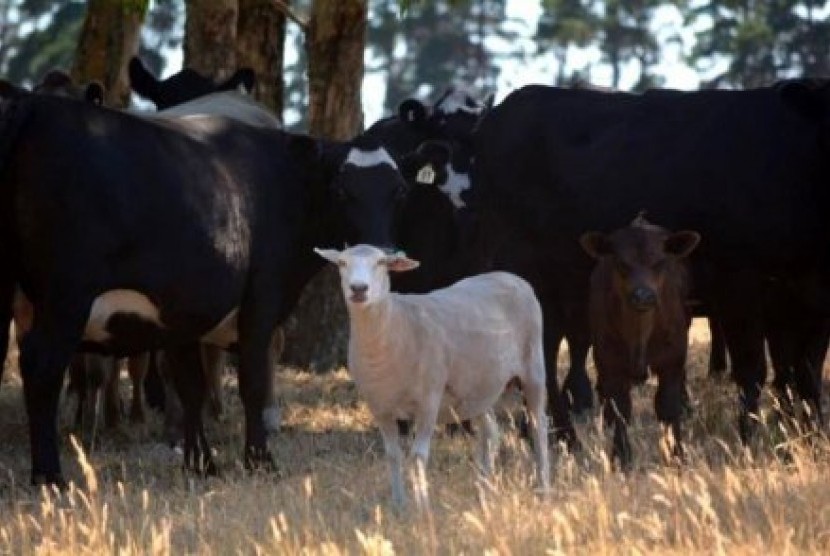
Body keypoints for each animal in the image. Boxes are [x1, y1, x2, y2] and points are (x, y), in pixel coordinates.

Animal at [0, 84, 442, 484]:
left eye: (400, 191)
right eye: (341, 190)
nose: (385, 253)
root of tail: (35, 105)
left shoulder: (179, 312)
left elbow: (190, 386)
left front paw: (201, 464)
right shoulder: (261, 299)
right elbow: (252, 382)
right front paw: (260, 460)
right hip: (66, 298)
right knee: (41, 366)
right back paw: (49, 476)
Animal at [316, 245, 548, 506]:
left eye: (382, 263)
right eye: (342, 263)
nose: (358, 288)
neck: (396, 325)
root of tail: (510, 276)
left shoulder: (429, 400)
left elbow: (418, 455)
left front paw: (423, 505)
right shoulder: (380, 407)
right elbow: (393, 455)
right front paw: (399, 505)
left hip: (533, 368)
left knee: (538, 426)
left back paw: (543, 489)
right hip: (476, 390)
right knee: (490, 432)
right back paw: (483, 493)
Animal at [584, 215, 704, 466]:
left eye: (660, 262)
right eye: (621, 263)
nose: (643, 295)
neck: (639, 337)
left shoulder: (672, 358)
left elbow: (667, 406)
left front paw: (677, 453)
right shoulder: (609, 361)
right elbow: (620, 409)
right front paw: (621, 456)